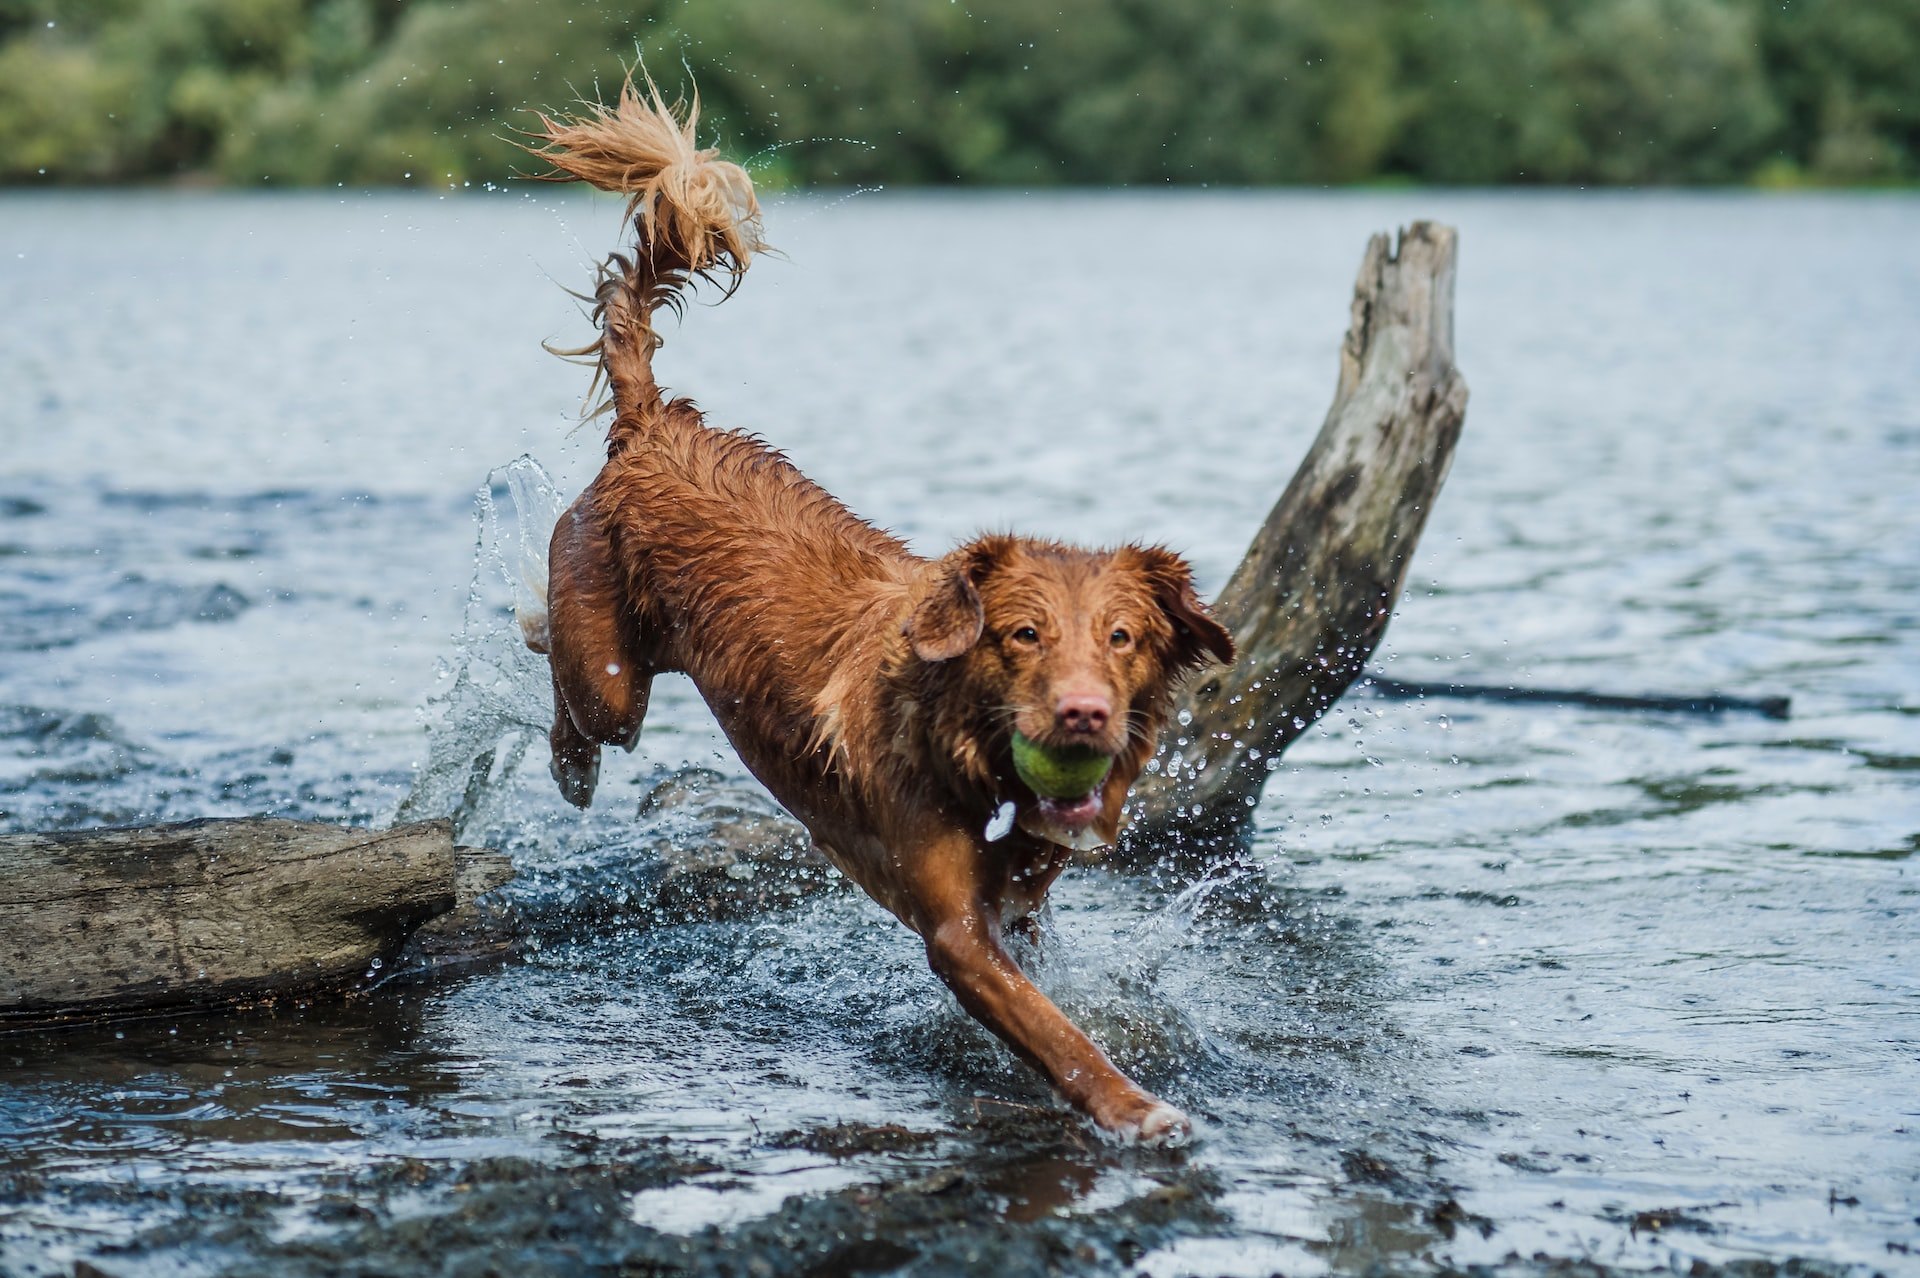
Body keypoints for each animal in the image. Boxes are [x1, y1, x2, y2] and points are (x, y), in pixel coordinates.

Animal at [518, 82, 1228, 1136]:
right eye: (1022, 636)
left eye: (1123, 639)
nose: (1083, 715)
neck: (970, 752)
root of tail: (657, 427)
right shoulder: (955, 934)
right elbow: (1059, 1036)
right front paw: (1136, 1109)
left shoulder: (1015, 906)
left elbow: (1054, 990)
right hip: (611, 675)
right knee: (575, 688)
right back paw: (569, 758)